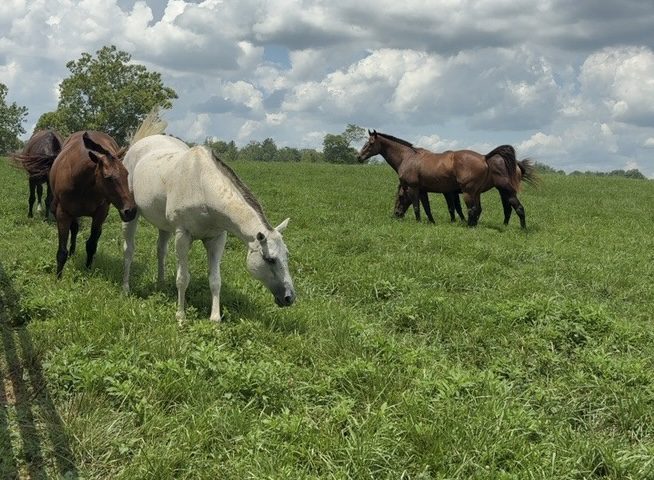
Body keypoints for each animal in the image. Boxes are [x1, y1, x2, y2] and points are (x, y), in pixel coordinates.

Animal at [48, 131, 137, 278]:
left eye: (126, 173)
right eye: (108, 178)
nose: (130, 211)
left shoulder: (100, 214)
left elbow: (91, 244)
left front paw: (88, 269)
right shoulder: (63, 214)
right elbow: (62, 251)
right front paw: (58, 278)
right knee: (75, 229)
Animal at [121, 113, 296, 322]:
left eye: (287, 255)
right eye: (270, 259)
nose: (289, 298)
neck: (202, 186)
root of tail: (138, 144)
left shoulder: (217, 239)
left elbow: (215, 280)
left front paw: (215, 318)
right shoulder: (183, 236)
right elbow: (183, 278)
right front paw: (181, 316)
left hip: (164, 226)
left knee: (160, 251)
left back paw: (161, 284)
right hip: (131, 216)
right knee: (129, 250)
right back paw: (125, 288)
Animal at [357, 130, 533, 228]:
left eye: (370, 143)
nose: (359, 157)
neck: (408, 157)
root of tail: (484, 157)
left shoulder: (414, 188)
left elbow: (417, 207)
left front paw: (418, 222)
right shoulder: (424, 190)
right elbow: (427, 207)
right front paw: (431, 222)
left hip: (473, 192)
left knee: (475, 210)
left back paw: (470, 226)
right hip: (478, 192)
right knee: (482, 209)